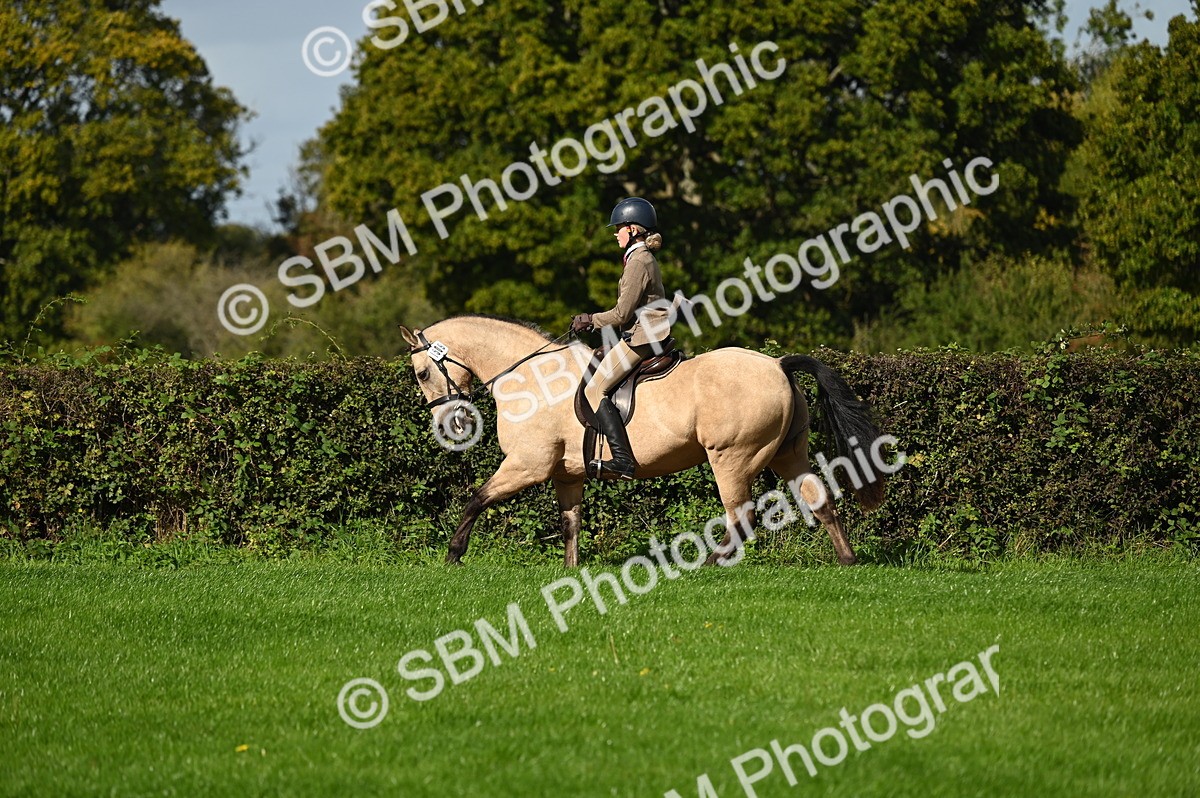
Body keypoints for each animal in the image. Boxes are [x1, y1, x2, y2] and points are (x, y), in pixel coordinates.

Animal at [399, 315, 886, 567]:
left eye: (421, 372)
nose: (452, 423)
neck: (532, 379)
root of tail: (778, 364)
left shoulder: (527, 465)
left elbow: (477, 498)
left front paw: (454, 554)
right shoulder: (565, 474)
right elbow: (571, 523)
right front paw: (571, 569)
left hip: (731, 457)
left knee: (742, 514)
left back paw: (708, 564)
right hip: (788, 453)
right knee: (818, 497)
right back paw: (847, 560)